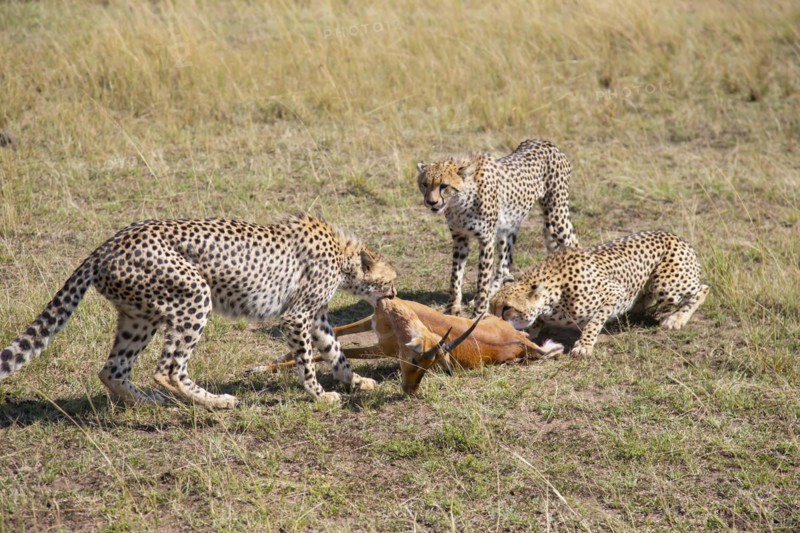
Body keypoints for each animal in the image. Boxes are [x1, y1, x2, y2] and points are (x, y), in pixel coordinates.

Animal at [0, 214, 397, 409]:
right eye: (391, 284)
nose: (393, 297)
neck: (344, 257)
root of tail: (107, 245)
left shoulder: (316, 316)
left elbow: (336, 352)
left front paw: (357, 382)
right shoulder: (296, 316)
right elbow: (309, 360)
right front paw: (318, 395)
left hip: (139, 317)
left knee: (112, 369)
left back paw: (150, 404)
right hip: (194, 297)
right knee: (168, 369)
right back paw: (215, 403)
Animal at [417, 139, 578, 318]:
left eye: (444, 186)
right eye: (424, 184)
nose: (431, 202)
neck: (459, 203)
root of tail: (545, 141)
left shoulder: (486, 240)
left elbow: (482, 279)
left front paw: (479, 312)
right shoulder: (460, 239)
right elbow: (455, 277)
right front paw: (453, 308)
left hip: (556, 215)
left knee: (574, 244)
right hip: (508, 227)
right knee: (505, 265)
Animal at [490, 230, 709, 357]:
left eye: (507, 308)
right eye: (491, 306)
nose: (492, 321)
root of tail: (677, 237)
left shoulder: (616, 293)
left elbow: (594, 322)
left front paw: (584, 346)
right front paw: (530, 330)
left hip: (664, 285)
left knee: (703, 288)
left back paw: (677, 318)